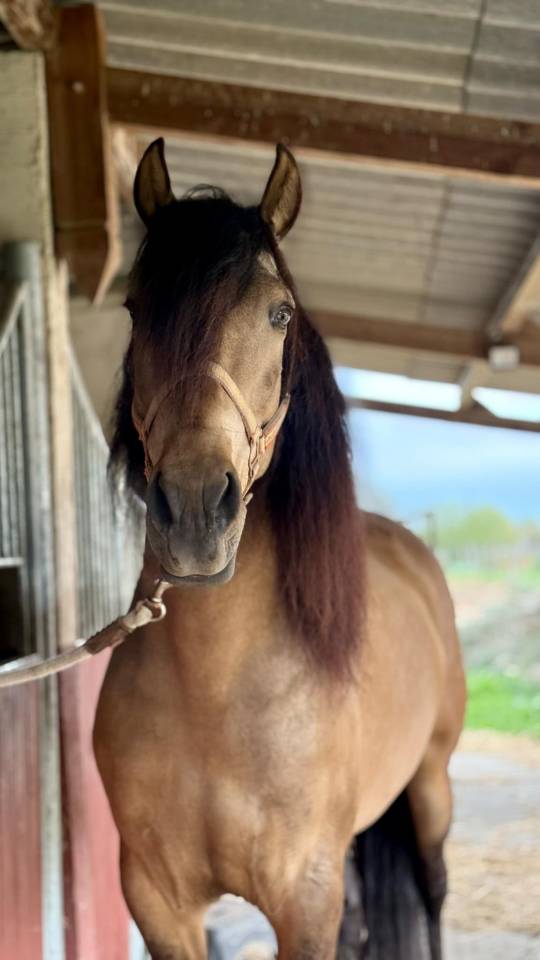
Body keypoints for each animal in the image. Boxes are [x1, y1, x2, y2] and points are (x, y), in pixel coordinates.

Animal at [93, 139, 466, 960]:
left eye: (279, 313)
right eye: (135, 309)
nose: (196, 508)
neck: (214, 692)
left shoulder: (306, 894)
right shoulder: (157, 899)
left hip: (431, 787)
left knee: (432, 893)